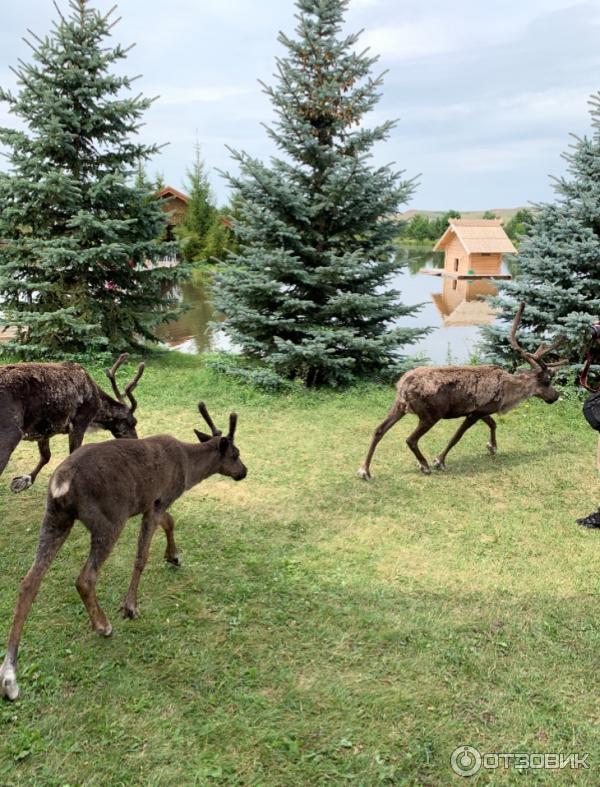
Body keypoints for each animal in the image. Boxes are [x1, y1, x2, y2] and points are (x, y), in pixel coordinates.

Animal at [0, 356, 144, 492]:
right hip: (10, 437)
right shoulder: (80, 423)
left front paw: (26, 480)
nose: (136, 442)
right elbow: (73, 455)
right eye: (132, 422)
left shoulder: (44, 430)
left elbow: (46, 456)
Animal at [0, 404, 247, 700]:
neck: (189, 468)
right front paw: (130, 606)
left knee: (29, 582)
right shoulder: (160, 499)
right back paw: (103, 625)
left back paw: (9, 675)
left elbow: (170, 522)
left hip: (55, 518)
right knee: (85, 578)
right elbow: (141, 556)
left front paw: (174, 555)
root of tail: (62, 481)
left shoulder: (150, 503)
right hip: (109, 520)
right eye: (236, 454)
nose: (244, 471)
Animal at [356, 304, 568, 480]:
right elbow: (457, 436)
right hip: (430, 415)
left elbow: (492, 424)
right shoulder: (476, 412)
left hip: (398, 406)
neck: (508, 393)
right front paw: (439, 461)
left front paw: (492, 447)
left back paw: (365, 470)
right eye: (547, 380)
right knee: (410, 439)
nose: (555, 396)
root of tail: (403, 384)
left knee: (378, 430)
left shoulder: (480, 410)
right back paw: (424, 465)